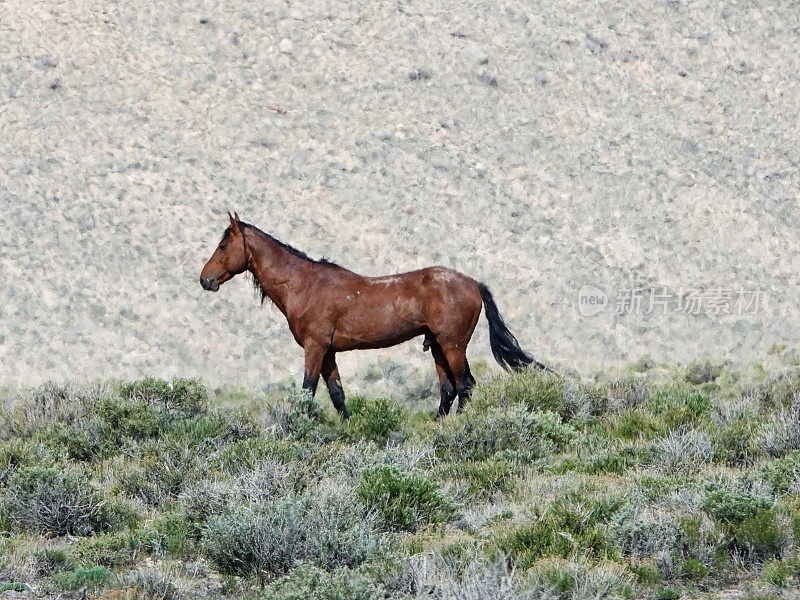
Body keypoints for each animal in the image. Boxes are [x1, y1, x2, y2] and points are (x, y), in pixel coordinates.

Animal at [200, 214, 552, 418]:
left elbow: (308, 390)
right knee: (449, 388)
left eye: (223, 245)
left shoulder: (315, 348)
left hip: (453, 345)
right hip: (438, 346)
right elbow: (337, 395)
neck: (304, 283)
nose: (206, 279)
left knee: (464, 385)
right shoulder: (328, 351)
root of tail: (472, 283)